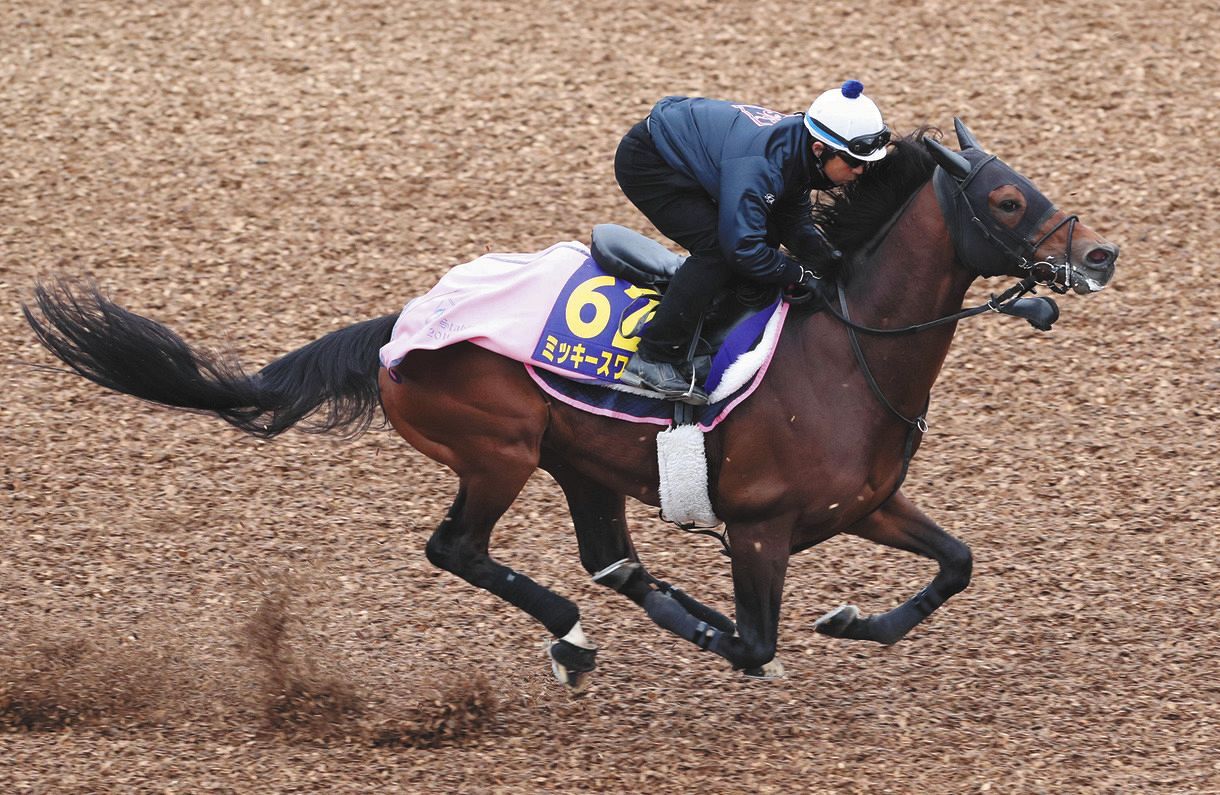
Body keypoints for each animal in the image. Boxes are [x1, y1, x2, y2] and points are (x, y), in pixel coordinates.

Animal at [23, 120, 1118, 691]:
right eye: (1007, 200)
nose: (1097, 253)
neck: (848, 352)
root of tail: (401, 325)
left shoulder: (867, 505)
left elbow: (956, 563)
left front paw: (856, 621)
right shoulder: (759, 527)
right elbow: (756, 639)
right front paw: (739, 637)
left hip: (578, 460)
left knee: (611, 561)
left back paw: (620, 618)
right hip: (497, 451)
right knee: (460, 550)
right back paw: (575, 635)